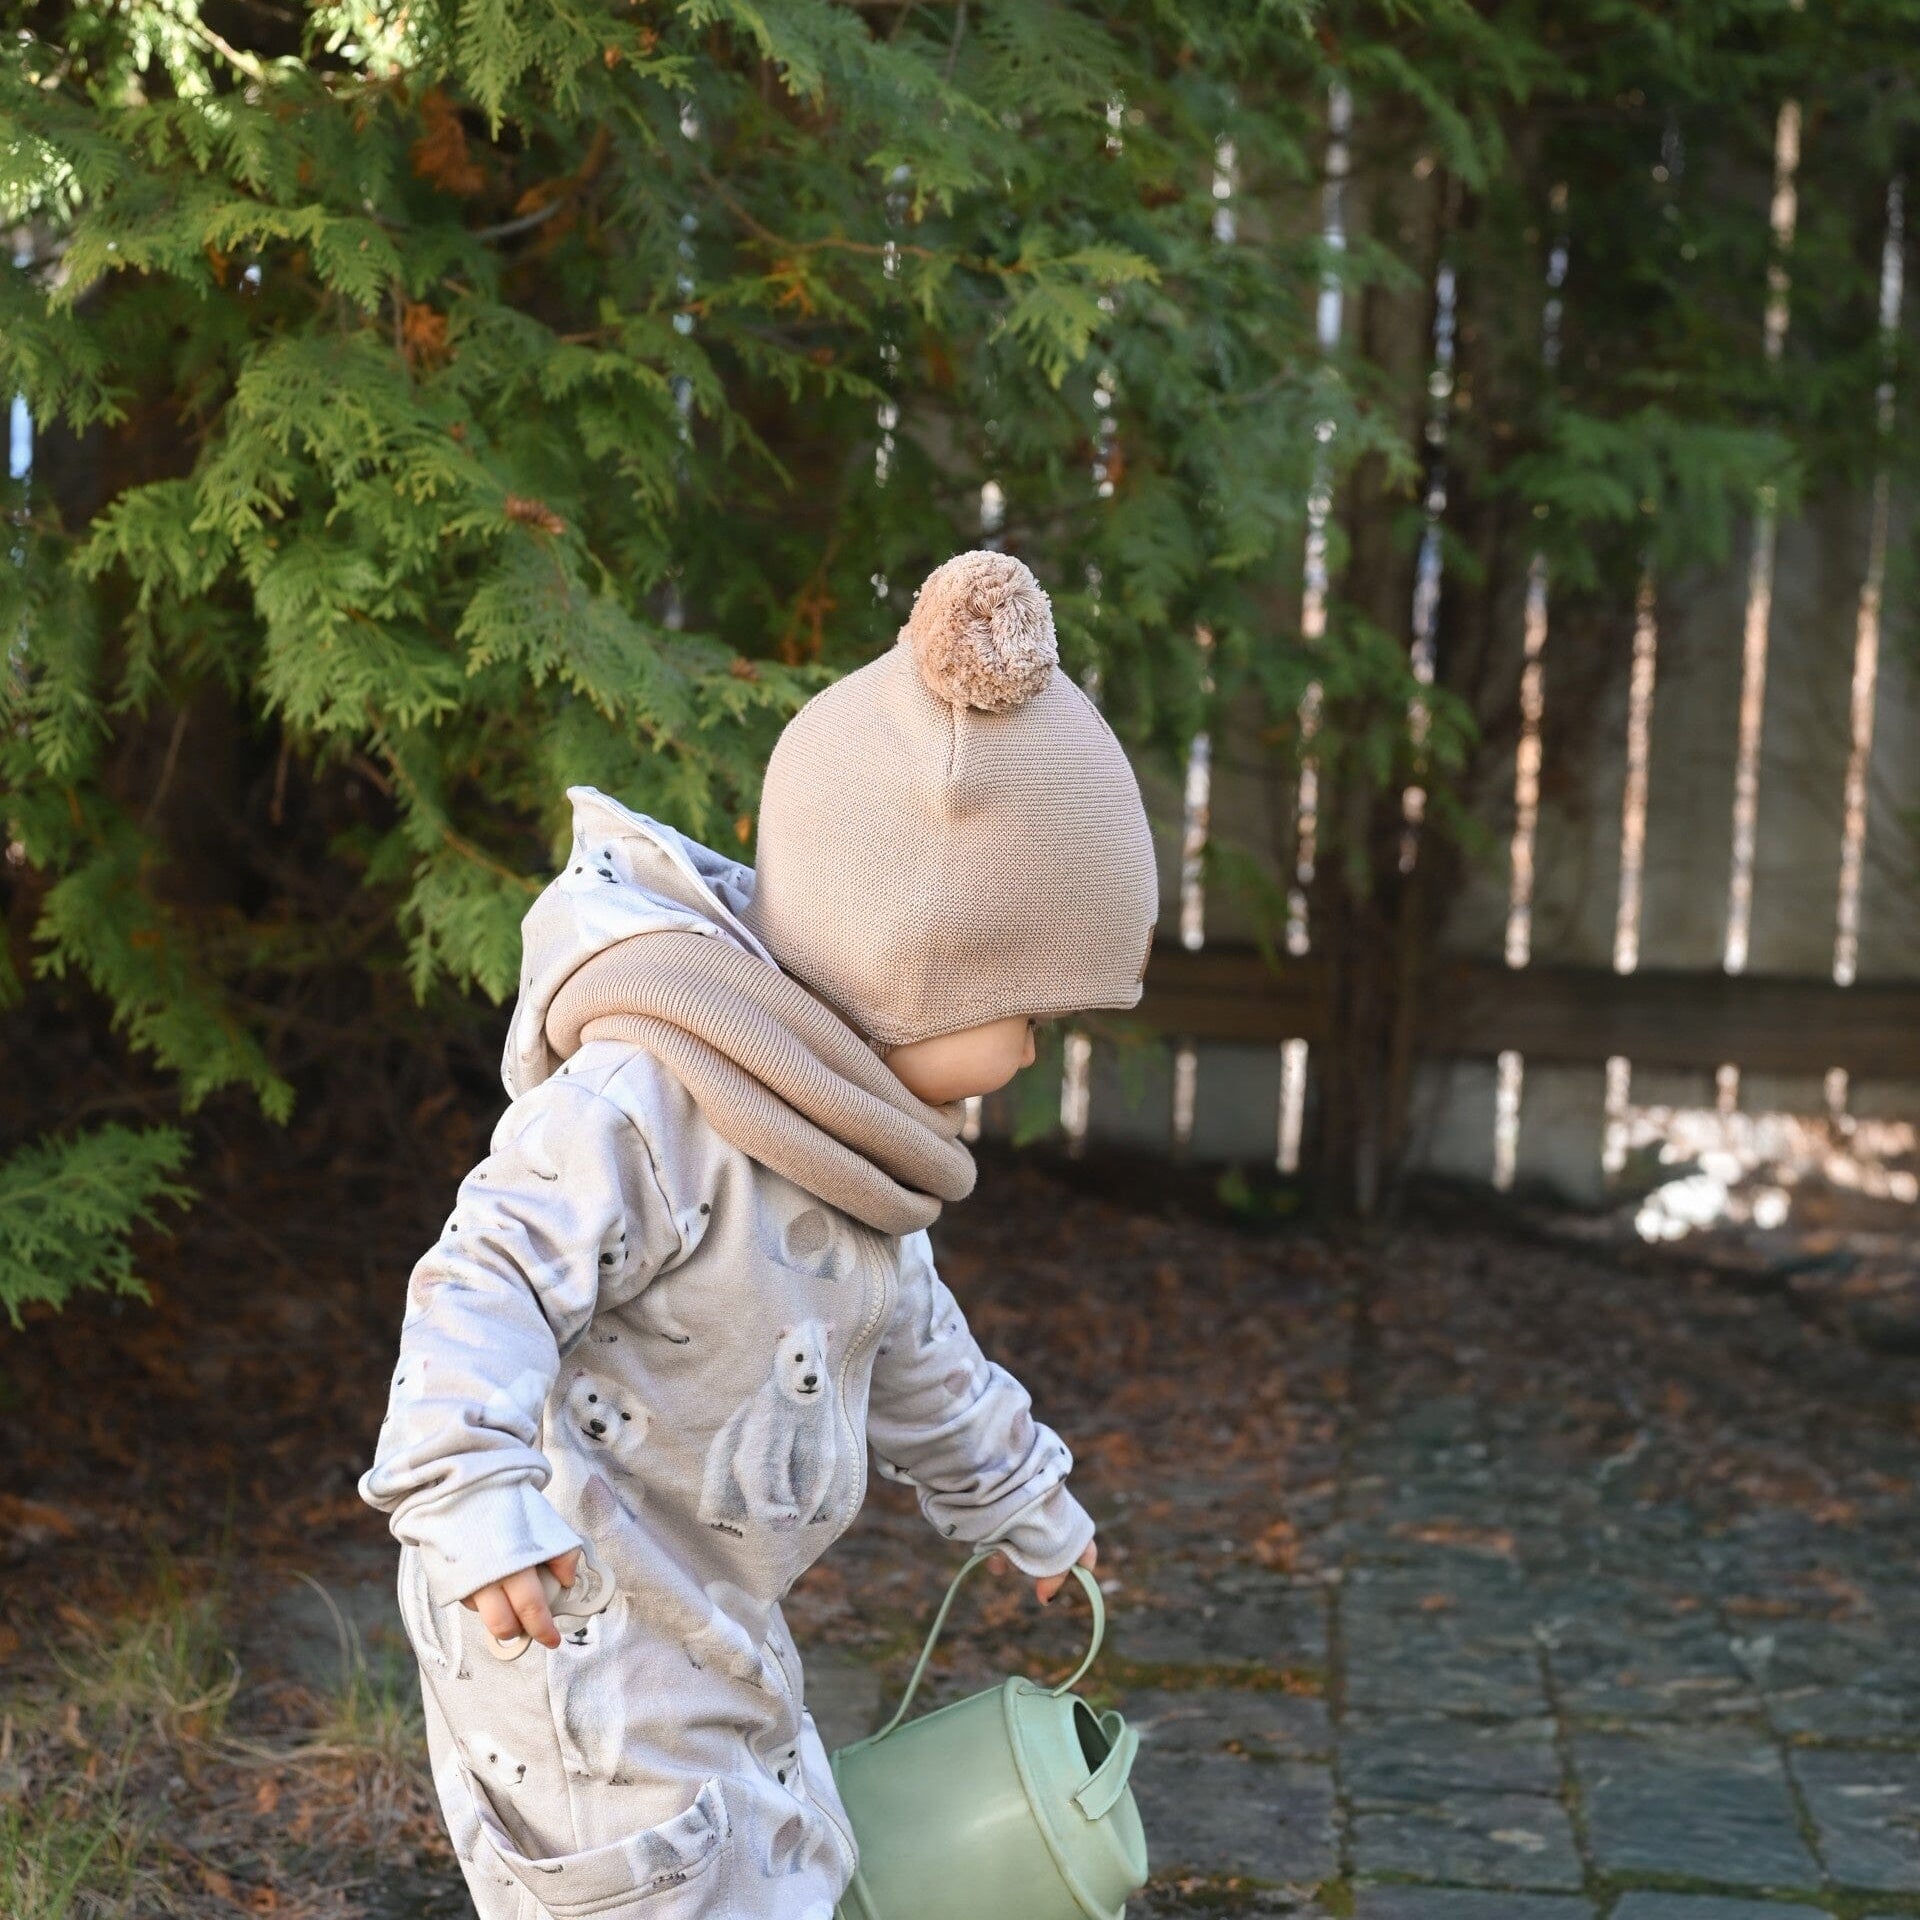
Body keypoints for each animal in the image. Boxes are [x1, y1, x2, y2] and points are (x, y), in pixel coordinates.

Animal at [697, 1321, 839, 1537]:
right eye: (799, 1356)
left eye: (821, 1355)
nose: (810, 1379)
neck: (797, 1404)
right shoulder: (773, 1409)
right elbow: (763, 1456)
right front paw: (784, 1512)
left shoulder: (817, 1415)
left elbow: (812, 1459)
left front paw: (804, 1514)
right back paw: (726, 1522)